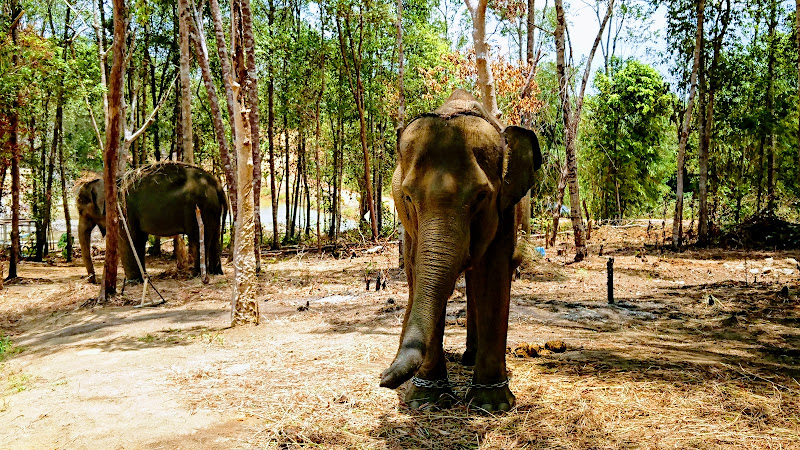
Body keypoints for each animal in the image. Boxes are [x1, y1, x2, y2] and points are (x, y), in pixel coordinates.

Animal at [76, 161, 227, 282]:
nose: (93, 280)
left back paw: (195, 275)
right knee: (214, 236)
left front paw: (133, 281)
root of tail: (216, 184)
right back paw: (216, 272)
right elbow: (139, 239)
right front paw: (143, 277)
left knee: (198, 237)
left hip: (202, 206)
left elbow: (128, 240)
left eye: (81, 211)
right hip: (213, 208)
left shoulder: (124, 211)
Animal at [380, 89, 544, 414]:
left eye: (481, 196)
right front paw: (428, 400)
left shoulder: (505, 208)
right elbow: (418, 272)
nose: (383, 378)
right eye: (408, 197)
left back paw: (470, 361)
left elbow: (493, 274)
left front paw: (492, 405)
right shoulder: (411, 224)